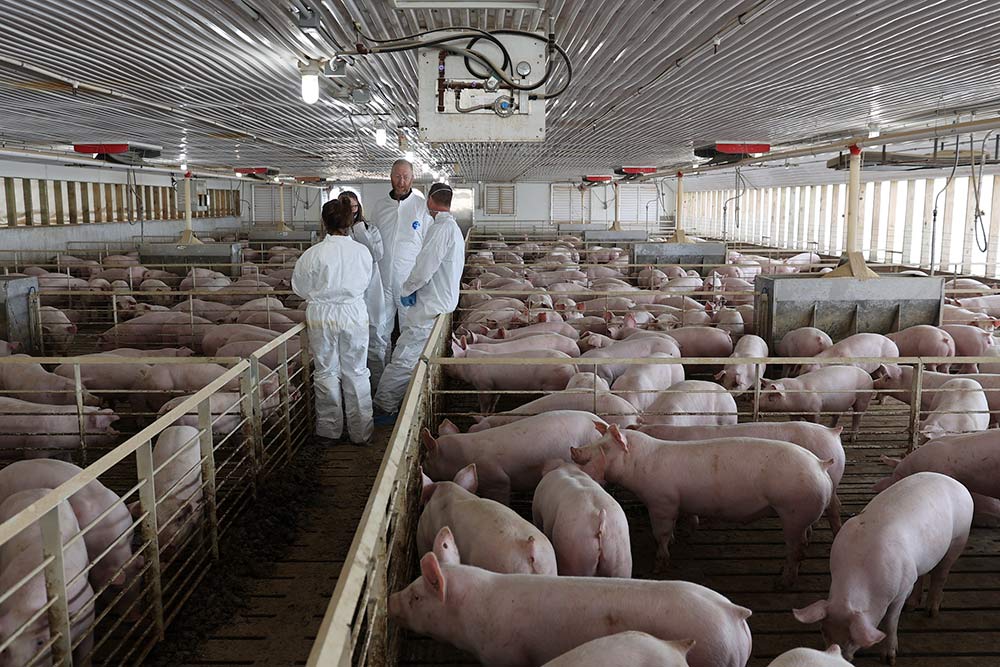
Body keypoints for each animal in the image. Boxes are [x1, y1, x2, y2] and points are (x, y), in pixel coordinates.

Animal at [792, 472, 972, 664]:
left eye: (852, 639)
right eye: (823, 631)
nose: (840, 656)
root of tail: (957, 483)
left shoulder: (901, 591)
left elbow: (890, 622)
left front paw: (889, 659)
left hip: (959, 538)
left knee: (941, 574)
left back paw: (931, 612)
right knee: (922, 575)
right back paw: (911, 606)